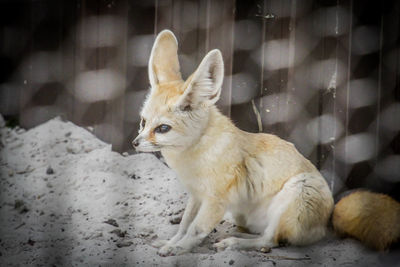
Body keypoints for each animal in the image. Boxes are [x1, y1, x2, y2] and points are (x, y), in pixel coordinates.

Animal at [132, 29, 334, 258]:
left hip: (296, 192)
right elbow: (184, 225)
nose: (134, 143)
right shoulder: (196, 195)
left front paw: (178, 248)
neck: (193, 154)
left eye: (163, 128)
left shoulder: (215, 200)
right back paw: (236, 235)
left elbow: (195, 229)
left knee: (270, 240)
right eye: (143, 122)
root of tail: (324, 228)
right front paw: (171, 241)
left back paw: (233, 242)